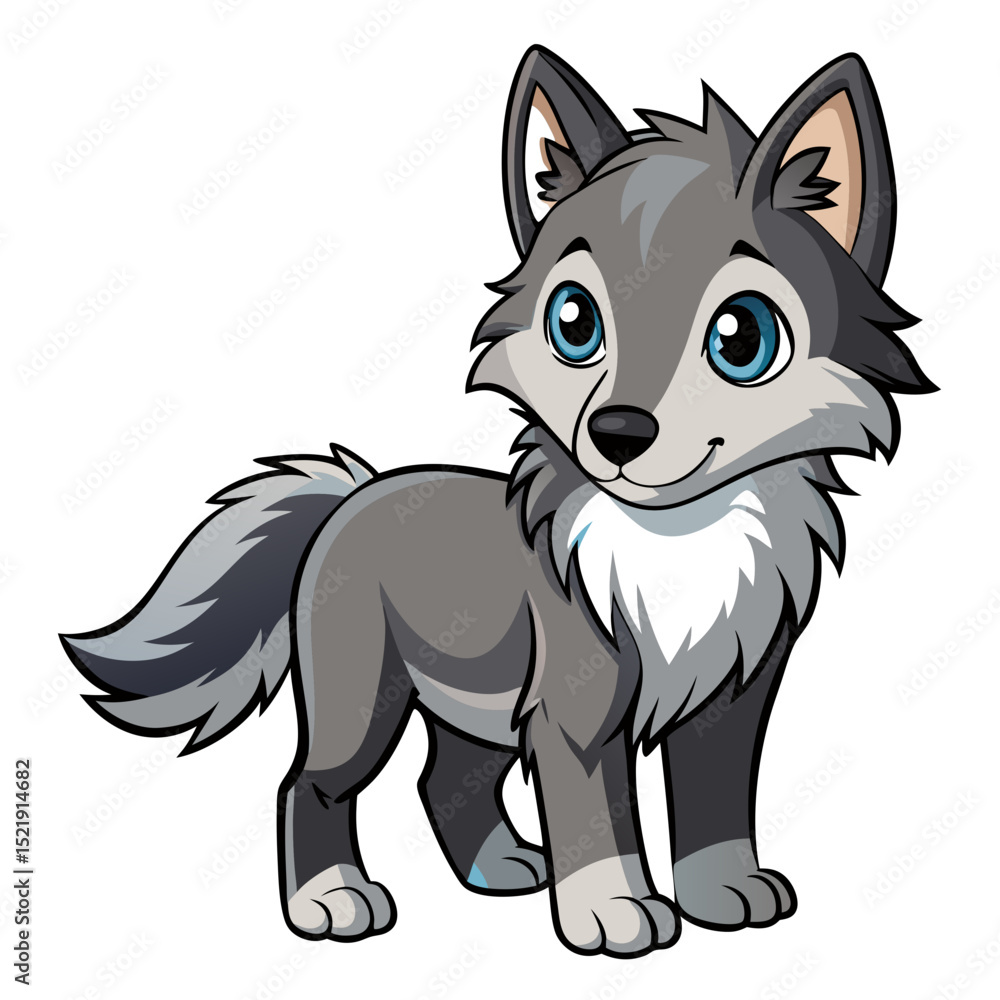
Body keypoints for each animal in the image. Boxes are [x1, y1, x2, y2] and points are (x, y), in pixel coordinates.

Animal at [61, 46, 934, 957]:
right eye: (574, 322)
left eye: (742, 337)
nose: (618, 433)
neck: (674, 542)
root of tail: (353, 492)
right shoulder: (577, 706)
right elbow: (597, 818)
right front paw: (611, 912)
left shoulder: (731, 698)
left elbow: (715, 806)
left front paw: (723, 891)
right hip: (364, 698)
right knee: (309, 783)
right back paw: (330, 900)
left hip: (468, 706)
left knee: (442, 779)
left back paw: (501, 865)